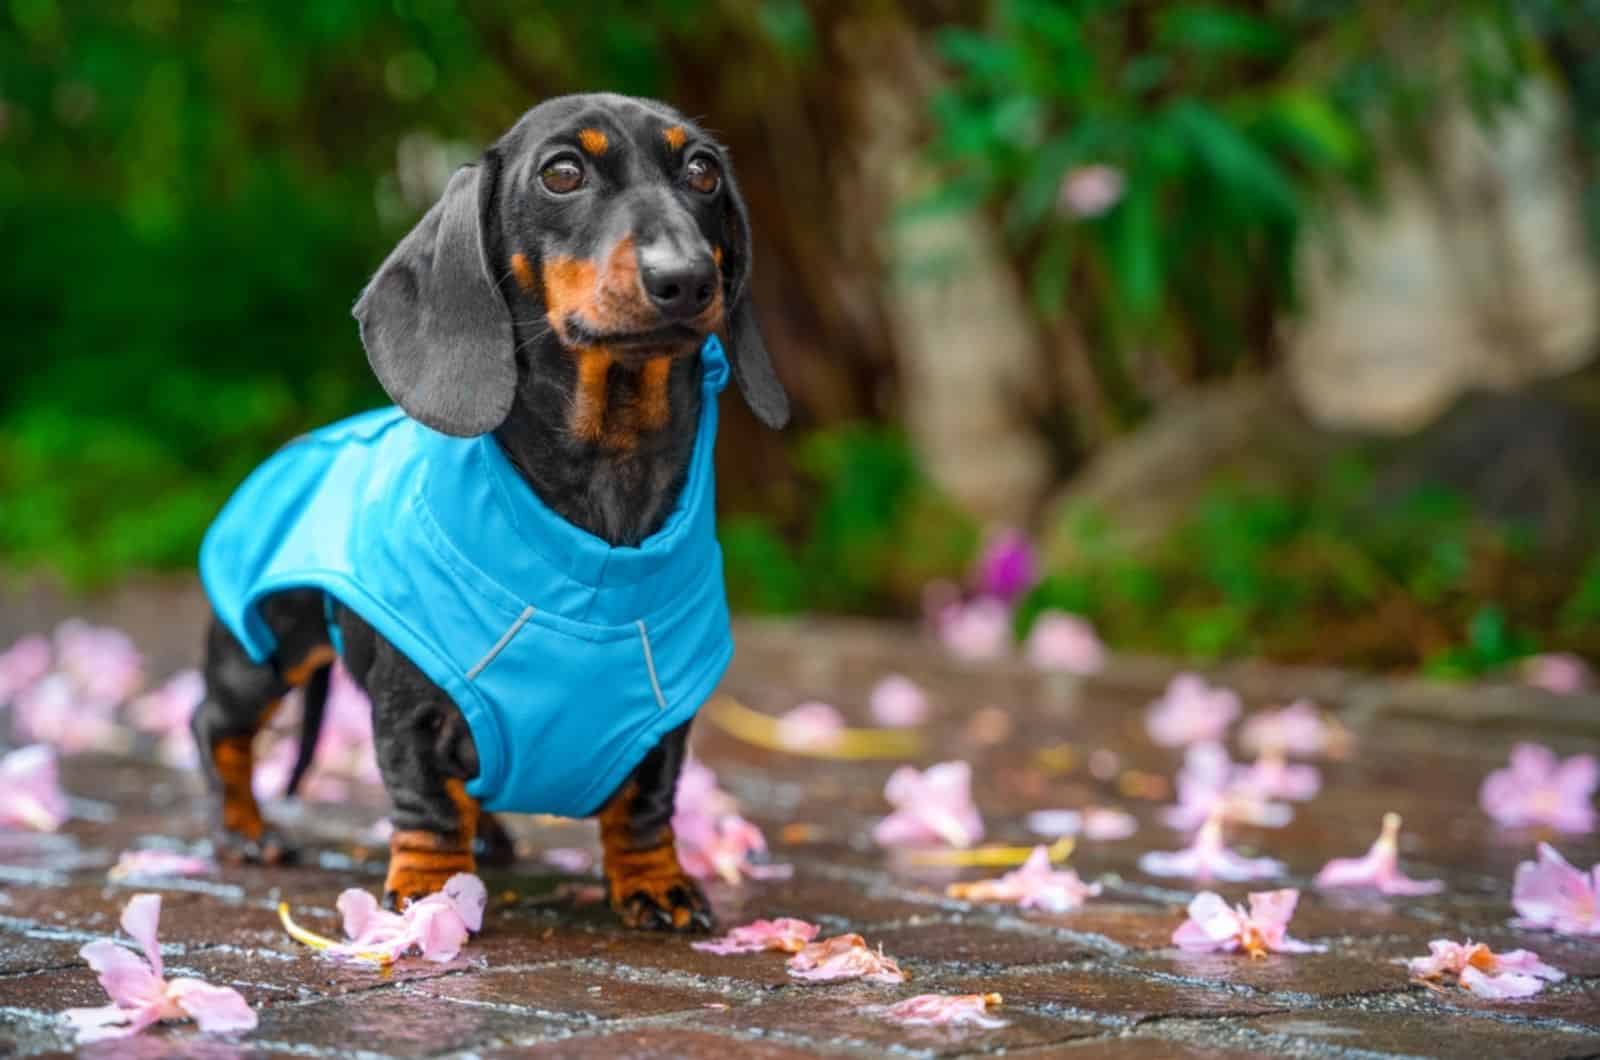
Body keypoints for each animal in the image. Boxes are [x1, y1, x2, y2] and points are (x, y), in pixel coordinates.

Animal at [190, 95, 790, 935]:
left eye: (702, 169)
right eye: (562, 172)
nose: (686, 278)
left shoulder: (666, 719)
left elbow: (646, 805)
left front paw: (655, 883)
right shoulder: (409, 707)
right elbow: (426, 801)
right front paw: (431, 892)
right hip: (263, 646)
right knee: (217, 728)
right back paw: (245, 833)